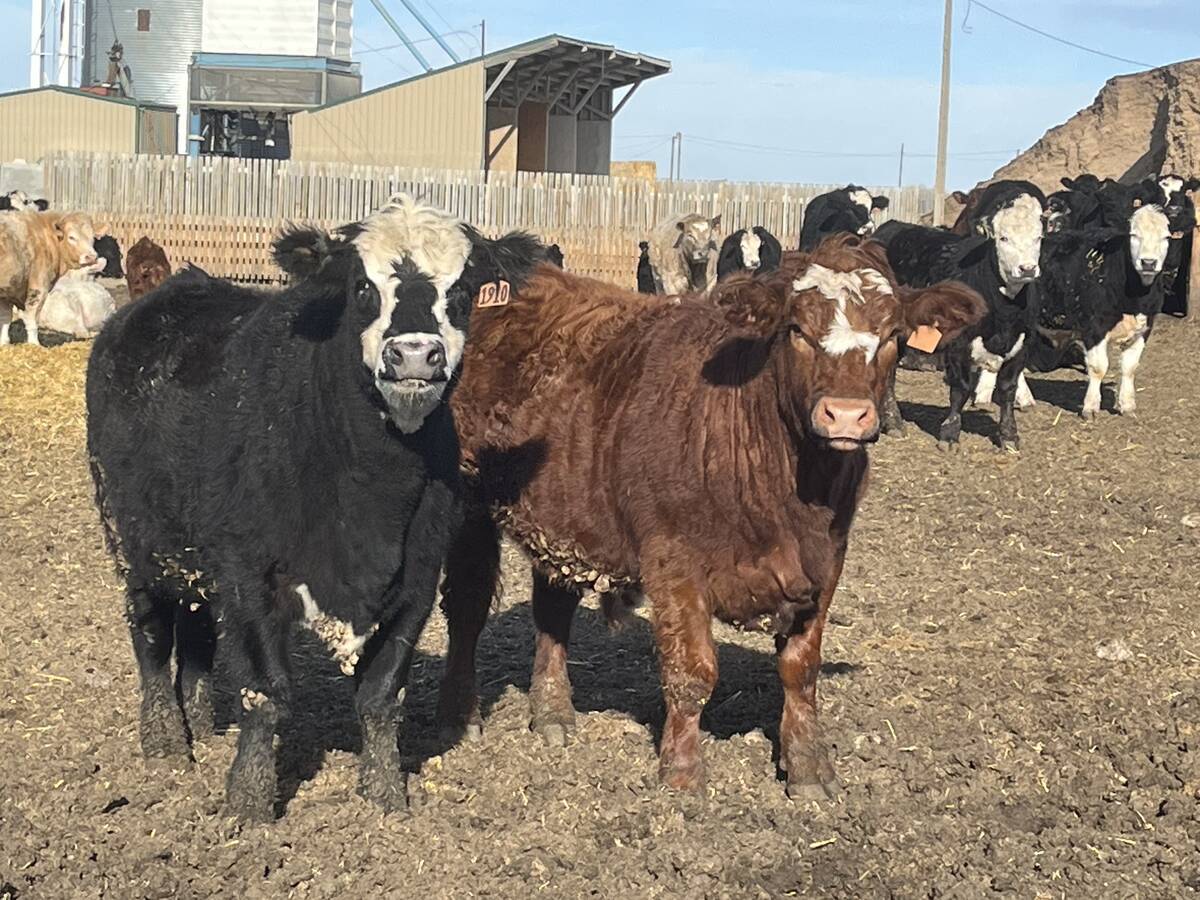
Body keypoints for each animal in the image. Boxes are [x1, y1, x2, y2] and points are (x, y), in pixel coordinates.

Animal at [0, 210, 100, 346]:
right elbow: (32, 319)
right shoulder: (39, 287)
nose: (91, 257)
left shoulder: (8, 290)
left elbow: (5, 318)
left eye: (93, 237)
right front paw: (34, 344)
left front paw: (4, 343)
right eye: (71, 237)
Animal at [86, 194, 543, 822]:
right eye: (362, 286)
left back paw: (200, 722)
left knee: (198, 631)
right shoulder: (250, 577)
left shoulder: (416, 580)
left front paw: (385, 795)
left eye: (463, 288)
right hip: (131, 539)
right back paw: (166, 741)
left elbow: (381, 696)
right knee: (151, 632)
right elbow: (265, 694)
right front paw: (249, 803)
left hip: (195, 556)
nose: (415, 355)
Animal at [435, 235, 985, 800]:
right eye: (796, 330)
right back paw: (460, 716)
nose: (847, 415)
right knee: (468, 608)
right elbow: (692, 671)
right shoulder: (673, 560)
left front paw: (809, 766)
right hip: (468, 508)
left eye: (893, 335)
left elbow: (800, 669)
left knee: (552, 607)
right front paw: (681, 773)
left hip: (566, 515)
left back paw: (552, 713)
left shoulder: (828, 561)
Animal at [876, 183, 1046, 451]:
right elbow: (960, 389)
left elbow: (1007, 389)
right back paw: (893, 421)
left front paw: (1009, 435)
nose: (1027, 269)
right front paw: (950, 433)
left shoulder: (1022, 345)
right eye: (1003, 237)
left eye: (1038, 237)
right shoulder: (957, 344)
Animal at [1028, 201, 1172, 418]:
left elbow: (1129, 367)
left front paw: (1127, 405)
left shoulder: (1144, 328)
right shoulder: (1094, 327)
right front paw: (1090, 407)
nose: (1148, 262)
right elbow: (1098, 368)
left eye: (1166, 237)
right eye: (1133, 234)